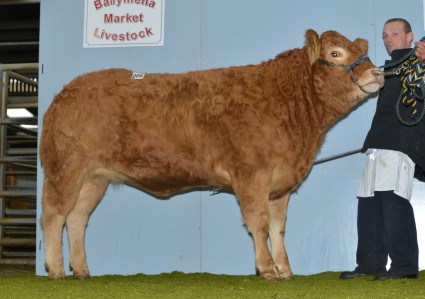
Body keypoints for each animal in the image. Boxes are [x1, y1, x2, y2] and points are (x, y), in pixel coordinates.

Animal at [40, 28, 384, 282]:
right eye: (335, 53)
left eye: (357, 49)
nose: (377, 72)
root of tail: (66, 92)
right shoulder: (251, 174)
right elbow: (258, 222)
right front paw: (266, 269)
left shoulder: (281, 181)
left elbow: (278, 226)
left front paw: (285, 269)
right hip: (66, 167)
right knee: (55, 214)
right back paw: (56, 270)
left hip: (95, 177)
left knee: (77, 217)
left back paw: (82, 270)